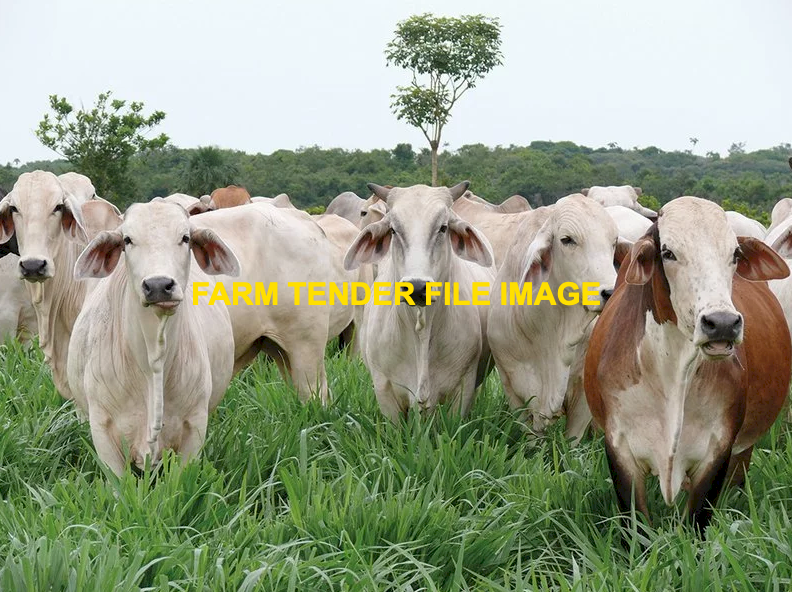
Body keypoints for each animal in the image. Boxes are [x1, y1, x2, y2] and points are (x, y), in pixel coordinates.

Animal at [487, 194, 629, 441]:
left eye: (613, 242)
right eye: (567, 239)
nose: (611, 292)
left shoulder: (583, 391)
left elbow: (572, 439)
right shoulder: (510, 382)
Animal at [584, 196, 790, 532]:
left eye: (734, 254)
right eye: (668, 253)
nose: (722, 323)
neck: (672, 372)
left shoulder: (718, 449)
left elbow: (697, 520)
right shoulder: (619, 448)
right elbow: (635, 527)